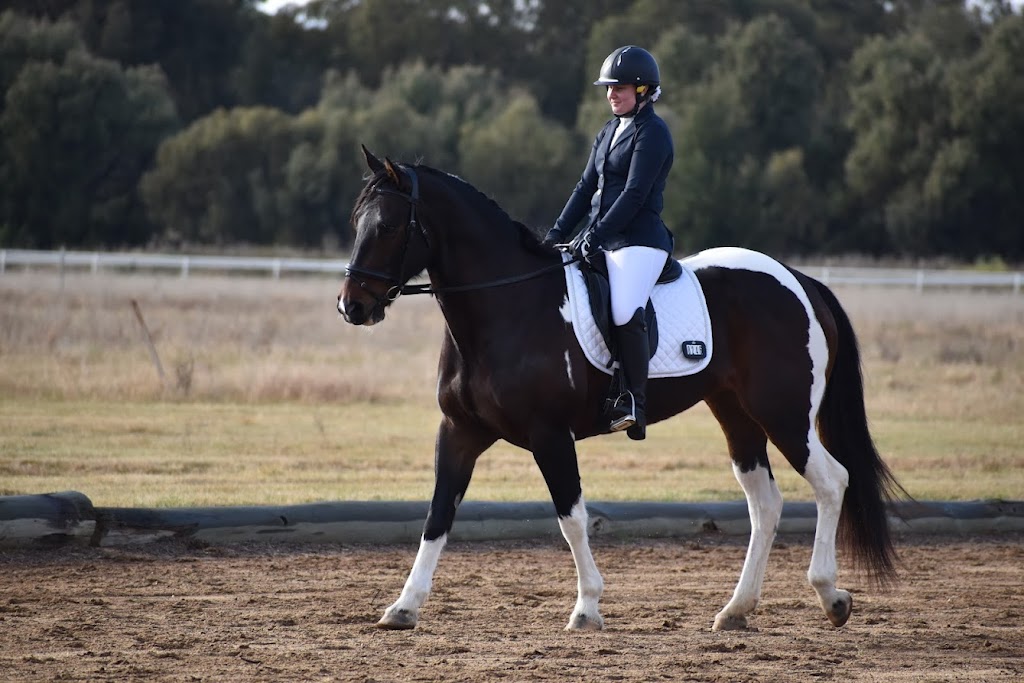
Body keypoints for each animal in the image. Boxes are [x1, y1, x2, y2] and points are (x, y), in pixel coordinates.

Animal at [337, 147, 905, 634]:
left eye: (388, 226)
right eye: (356, 222)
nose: (352, 307)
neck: (504, 309)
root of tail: (799, 281)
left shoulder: (550, 435)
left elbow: (572, 518)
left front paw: (587, 608)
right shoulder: (459, 432)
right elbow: (437, 515)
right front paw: (403, 607)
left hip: (784, 412)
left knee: (832, 481)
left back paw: (831, 596)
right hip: (736, 414)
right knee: (765, 503)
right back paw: (736, 610)